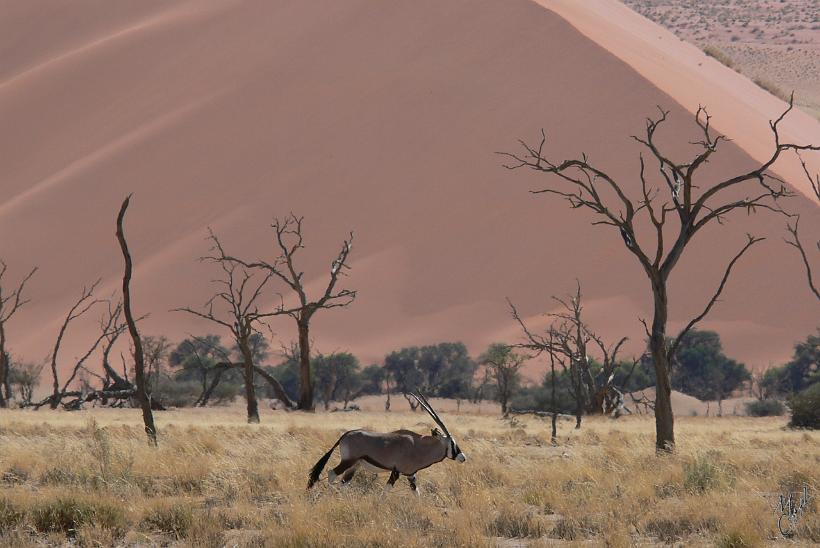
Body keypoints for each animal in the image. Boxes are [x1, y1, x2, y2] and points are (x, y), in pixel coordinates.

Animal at [306, 392, 464, 494]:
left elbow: (417, 493)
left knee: (344, 482)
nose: (463, 457)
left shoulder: (410, 475)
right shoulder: (396, 471)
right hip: (348, 461)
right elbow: (385, 492)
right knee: (332, 474)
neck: (418, 445)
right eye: (452, 442)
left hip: (355, 465)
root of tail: (346, 435)